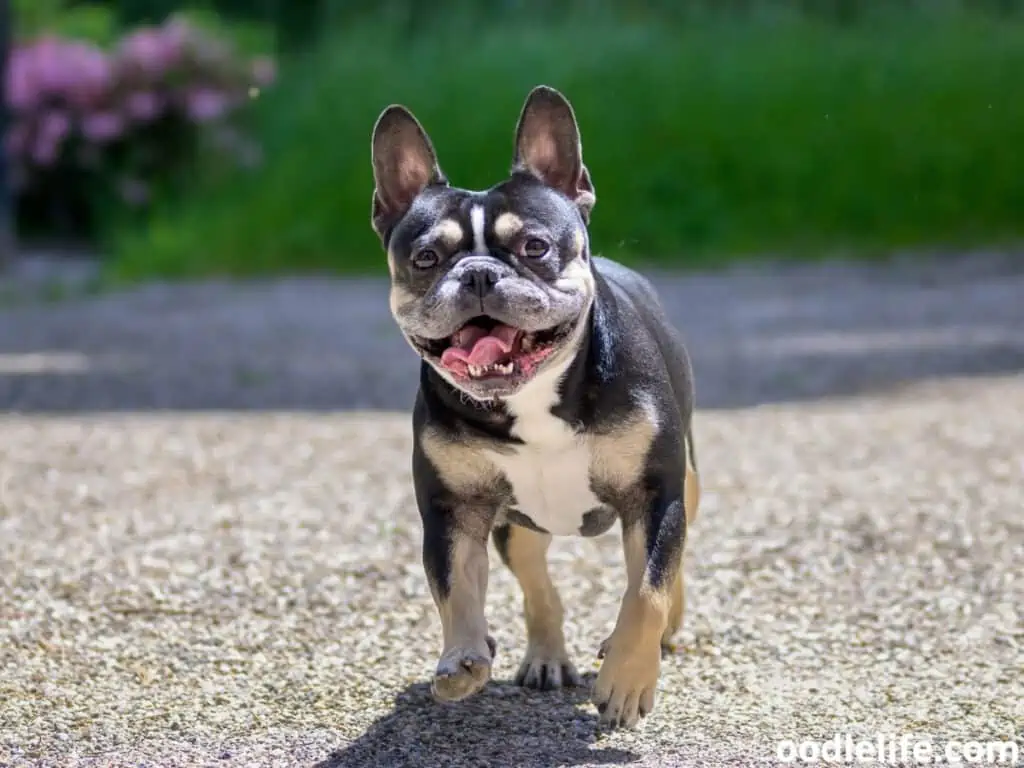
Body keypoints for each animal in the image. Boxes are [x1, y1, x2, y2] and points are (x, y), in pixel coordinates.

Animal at [372, 85, 700, 733]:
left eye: (535, 246)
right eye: (425, 259)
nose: (477, 274)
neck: (531, 396)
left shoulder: (656, 494)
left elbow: (648, 587)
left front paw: (628, 677)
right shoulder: (454, 509)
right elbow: (454, 585)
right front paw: (462, 657)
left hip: (691, 486)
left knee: (664, 571)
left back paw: (662, 634)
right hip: (515, 526)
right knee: (536, 582)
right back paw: (545, 657)